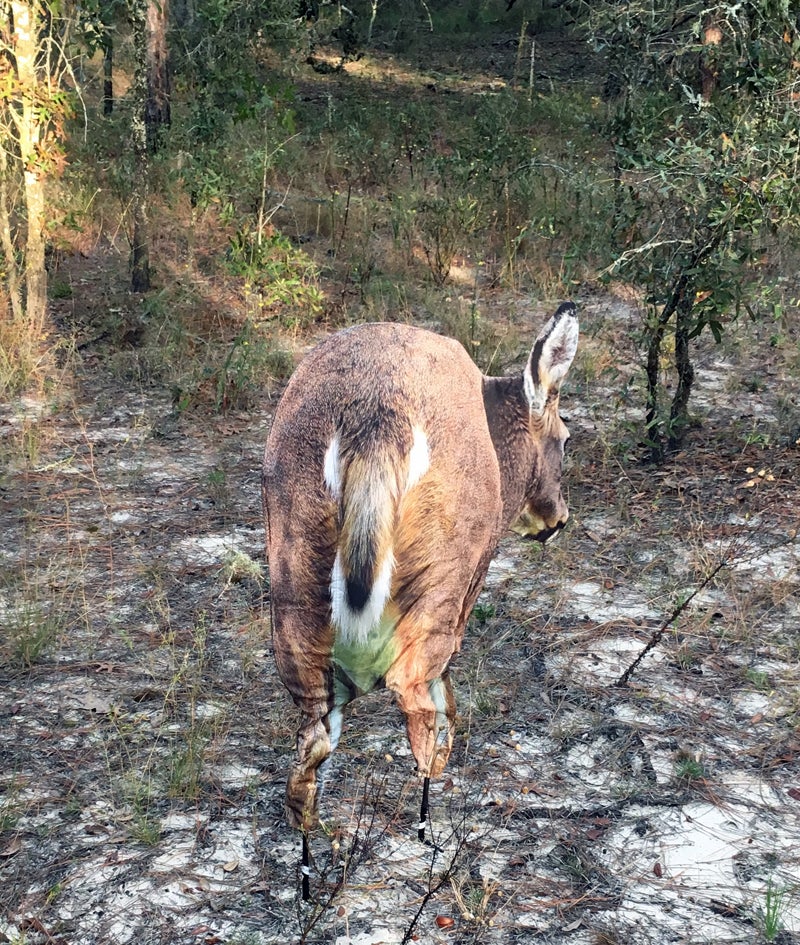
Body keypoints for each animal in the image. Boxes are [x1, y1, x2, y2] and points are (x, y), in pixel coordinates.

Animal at [260, 304, 576, 900]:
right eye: (566, 439)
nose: (557, 520)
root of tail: (376, 422)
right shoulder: (471, 579)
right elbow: (449, 692)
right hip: (439, 580)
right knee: (417, 702)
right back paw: (429, 833)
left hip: (291, 584)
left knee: (308, 749)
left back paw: (312, 873)